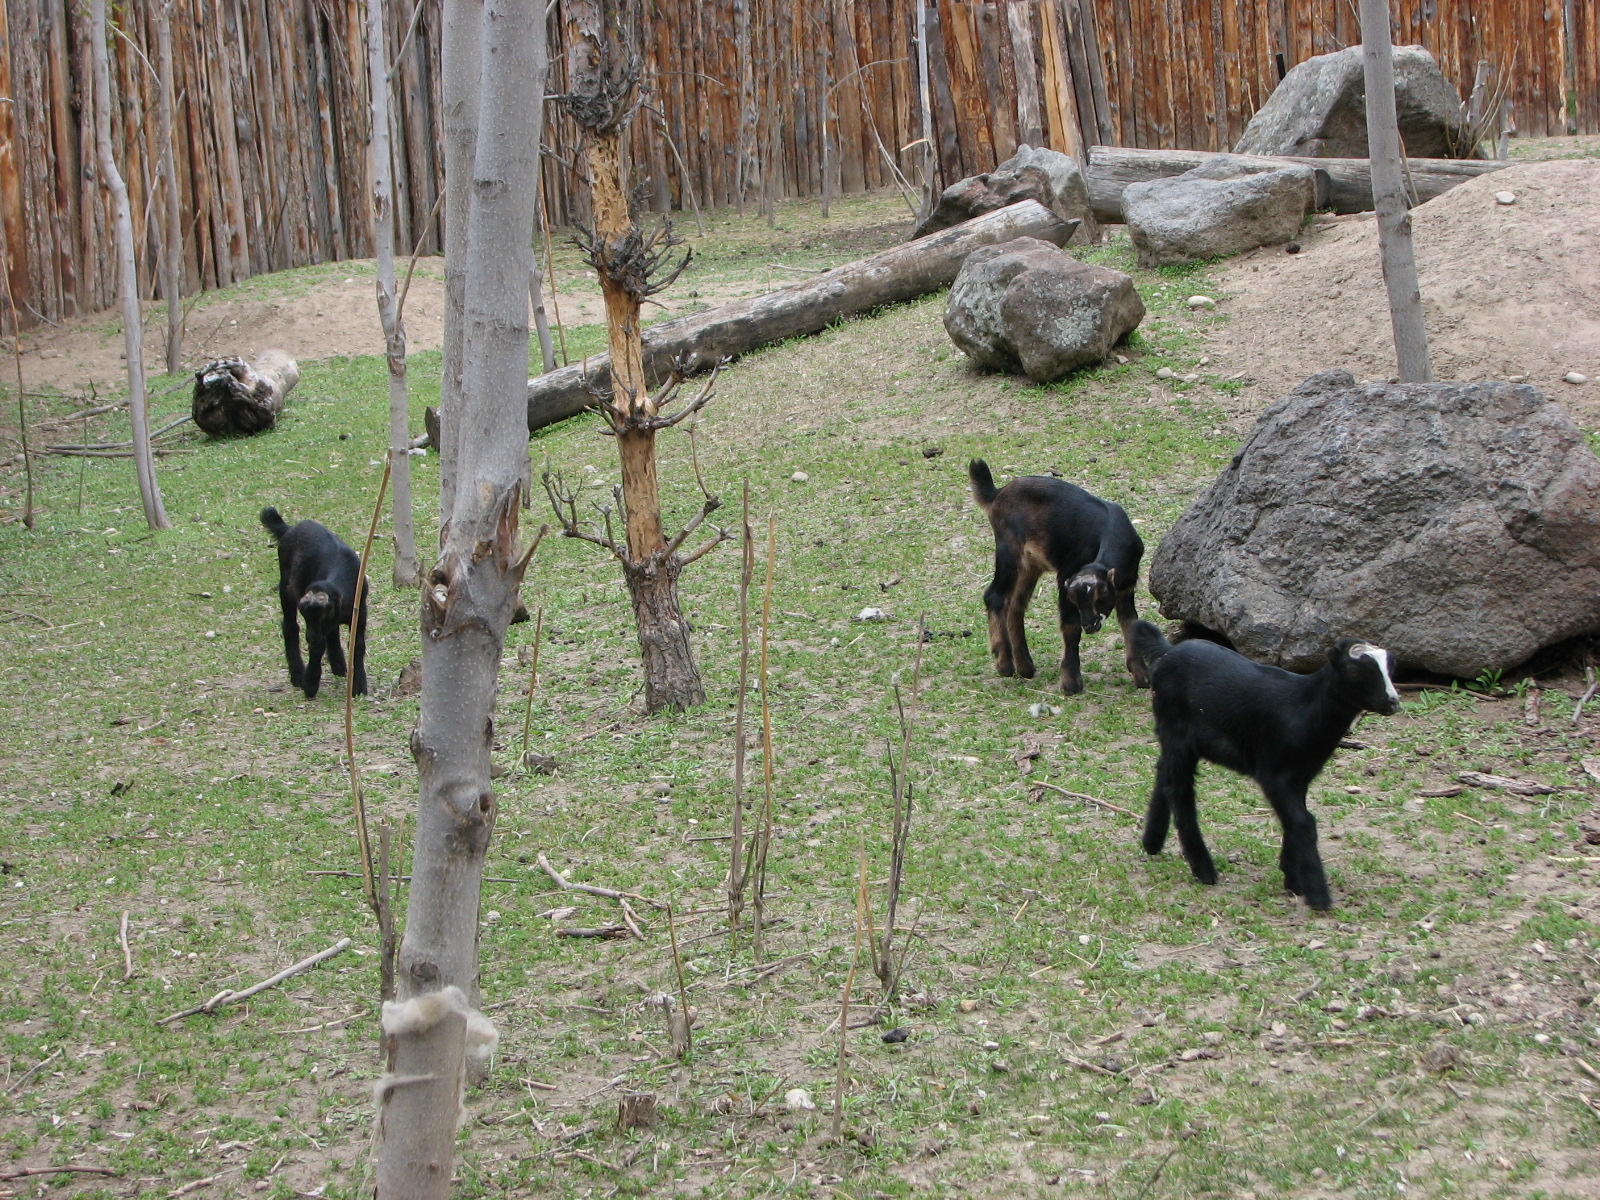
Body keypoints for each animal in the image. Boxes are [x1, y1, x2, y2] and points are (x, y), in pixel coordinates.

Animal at [260, 506, 369, 700]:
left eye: (325, 613)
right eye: (306, 615)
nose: (310, 637)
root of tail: (290, 528)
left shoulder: (360, 611)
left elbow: (357, 645)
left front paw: (359, 686)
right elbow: (317, 647)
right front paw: (310, 684)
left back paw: (339, 666)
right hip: (285, 587)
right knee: (290, 626)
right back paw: (297, 675)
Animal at [969, 459, 1147, 694]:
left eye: (1100, 596)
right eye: (1075, 600)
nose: (1089, 625)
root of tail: (997, 493)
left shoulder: (1126, 588)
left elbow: (1130, 622)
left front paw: (1142, 676)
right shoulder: (1067, 575)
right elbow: (1070, 626)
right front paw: (1071, 683)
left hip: (1030, 565)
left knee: (1015, 604)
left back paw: (1025, 666)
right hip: (1009, 550)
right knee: (994, 595)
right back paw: (1005, 663)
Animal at [1128, 620, 1400, 910]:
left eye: (1390, 666)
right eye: (1354, 671)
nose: (1392, 702)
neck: (1305, 708)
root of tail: (1168, 652)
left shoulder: (1300, 775)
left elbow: (1295, 820)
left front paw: (1293, 879)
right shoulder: (1274, 774)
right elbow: (1304, 822)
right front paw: (1317, 895)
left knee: (1164, 773)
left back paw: (1152, 842)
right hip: (1176, 730)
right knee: (1179, 790)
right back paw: (1203, 868)